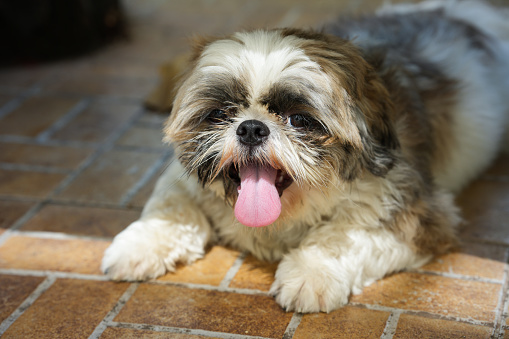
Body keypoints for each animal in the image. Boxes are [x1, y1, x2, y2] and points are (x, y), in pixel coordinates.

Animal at [100, 0, 508, 314]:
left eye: (299, 119)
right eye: (219, 113)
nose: (251, 127)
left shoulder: (417, 214)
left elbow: (345, 235)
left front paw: (312, 272)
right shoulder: (182, 178)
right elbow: (171, 206)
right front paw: (143, 242)